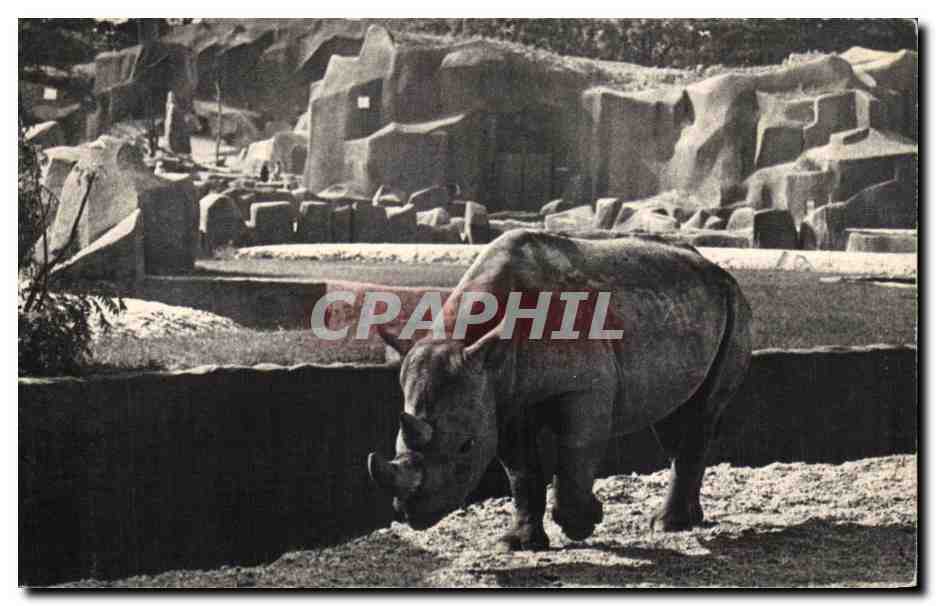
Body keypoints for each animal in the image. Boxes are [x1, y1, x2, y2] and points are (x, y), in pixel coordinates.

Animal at [368, 229, 752, 551]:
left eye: (466, 447)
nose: (411, 513)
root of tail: (714, 267)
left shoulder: (585, 388)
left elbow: (576, 453)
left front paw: (583, 524)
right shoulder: (500, 399)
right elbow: (521, 473)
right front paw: (518, 544)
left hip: (733, 303)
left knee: (700, 416)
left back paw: (669, 525)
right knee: (675, 419)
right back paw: (687, 520)